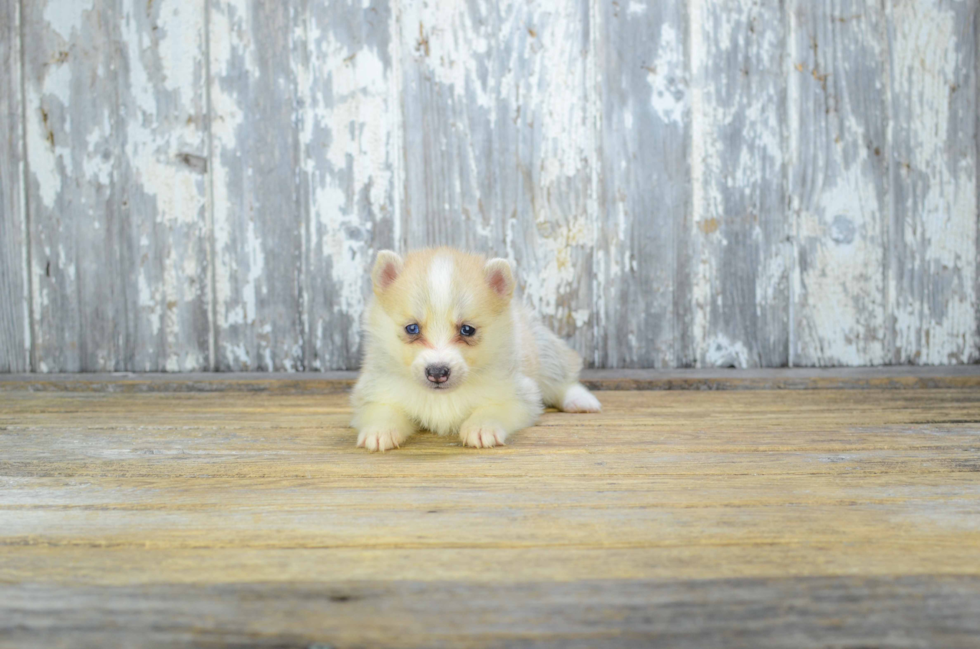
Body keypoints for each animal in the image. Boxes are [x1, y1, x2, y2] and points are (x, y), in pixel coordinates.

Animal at [348, 248, 600, 450]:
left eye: (467, 330)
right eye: (412, 328)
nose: (437, 372)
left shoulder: (517, 395)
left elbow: (492, 409)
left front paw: (481, 428)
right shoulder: (375, 391)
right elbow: (383, 411)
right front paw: (379, 431)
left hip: (545, 352)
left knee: (562, 380)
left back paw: (581, 401)